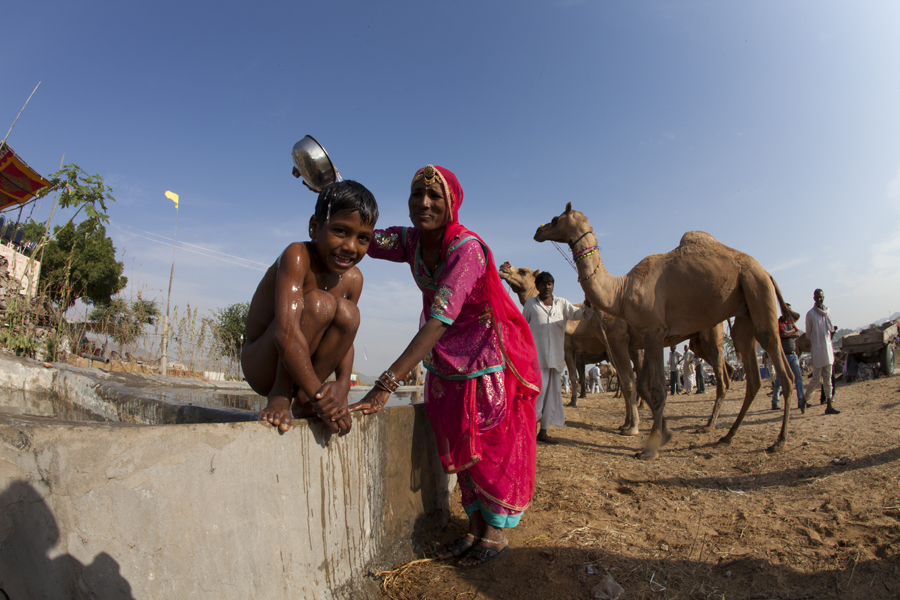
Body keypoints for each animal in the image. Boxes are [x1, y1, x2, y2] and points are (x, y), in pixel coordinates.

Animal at [534, 203, 798, 459]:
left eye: (556, 219)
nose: (538, 231)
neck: (620, 291)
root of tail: (766, 272)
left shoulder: (647, 333)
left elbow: (655, 389)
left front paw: (648, 446)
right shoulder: (651, 337)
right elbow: (643, 385)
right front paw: (662, 432)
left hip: (756, 289)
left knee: (778, 367)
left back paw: (778, 440)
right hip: (744, 312)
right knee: (750, 372)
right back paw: (727, 434)